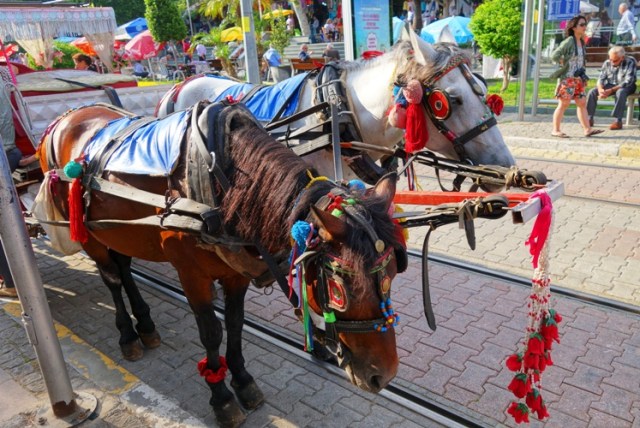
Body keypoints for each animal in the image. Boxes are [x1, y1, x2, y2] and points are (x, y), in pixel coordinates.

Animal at [35, 100, 407, 427]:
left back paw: (146, 325)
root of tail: (66, 119)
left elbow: (236, 323)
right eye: (339, 289)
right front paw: (222, 398)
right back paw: (128, 335)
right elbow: (212, 332)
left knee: (124, 268)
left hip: (118, 230)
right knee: (111, 276)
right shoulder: (191, 274)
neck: (220, 184)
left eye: (393, 273)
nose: (384, 375)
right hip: (89, 233)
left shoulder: (235, 273)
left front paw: (242, 381)